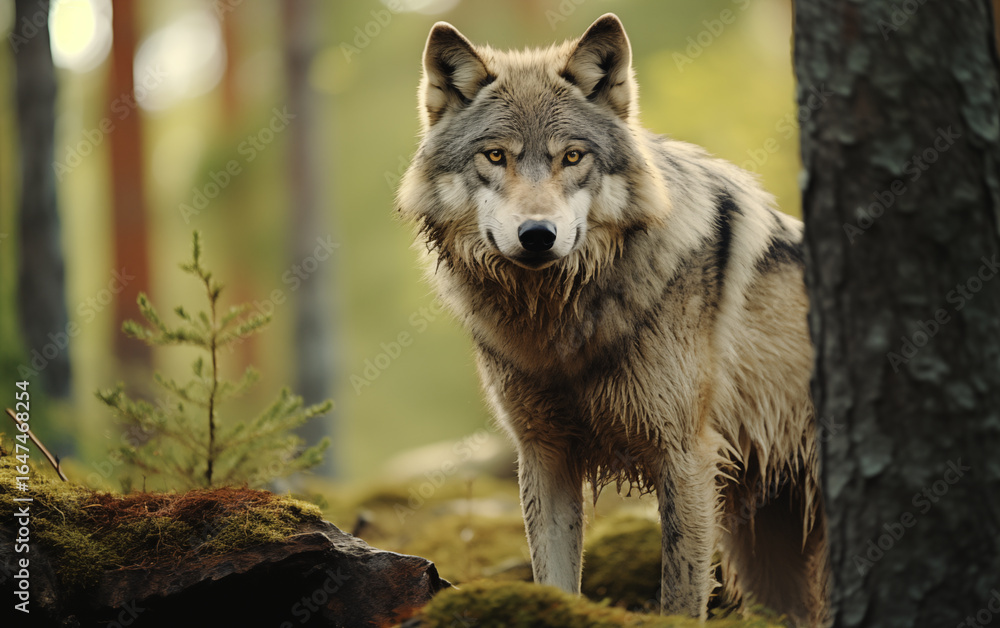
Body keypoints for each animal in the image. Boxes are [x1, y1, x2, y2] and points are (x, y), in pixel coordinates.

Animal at [397, 14, 827, 625]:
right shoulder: (544, 454)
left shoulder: (687, 457)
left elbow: (679, 597)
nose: (537, 235)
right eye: (496, 156)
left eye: (572, 157)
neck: (559, 323)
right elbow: (553, 582)